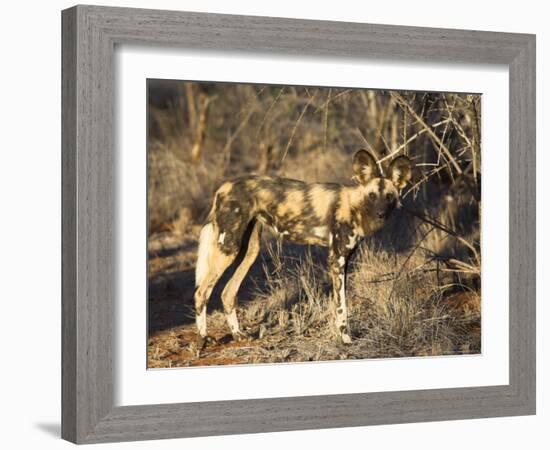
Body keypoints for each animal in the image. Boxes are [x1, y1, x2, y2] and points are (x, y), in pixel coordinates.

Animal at [195, 149, 414, 346]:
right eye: (372, 196)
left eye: (389, 196)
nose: (380, 214)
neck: (355, 206)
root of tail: (224, 187)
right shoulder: (336, 260)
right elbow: (341, 306)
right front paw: (345, 339)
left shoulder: (345, 260)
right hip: (228, 249)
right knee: (201, 292)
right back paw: (205, 338)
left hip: (248, 251)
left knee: (227, 293)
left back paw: (238, 334)